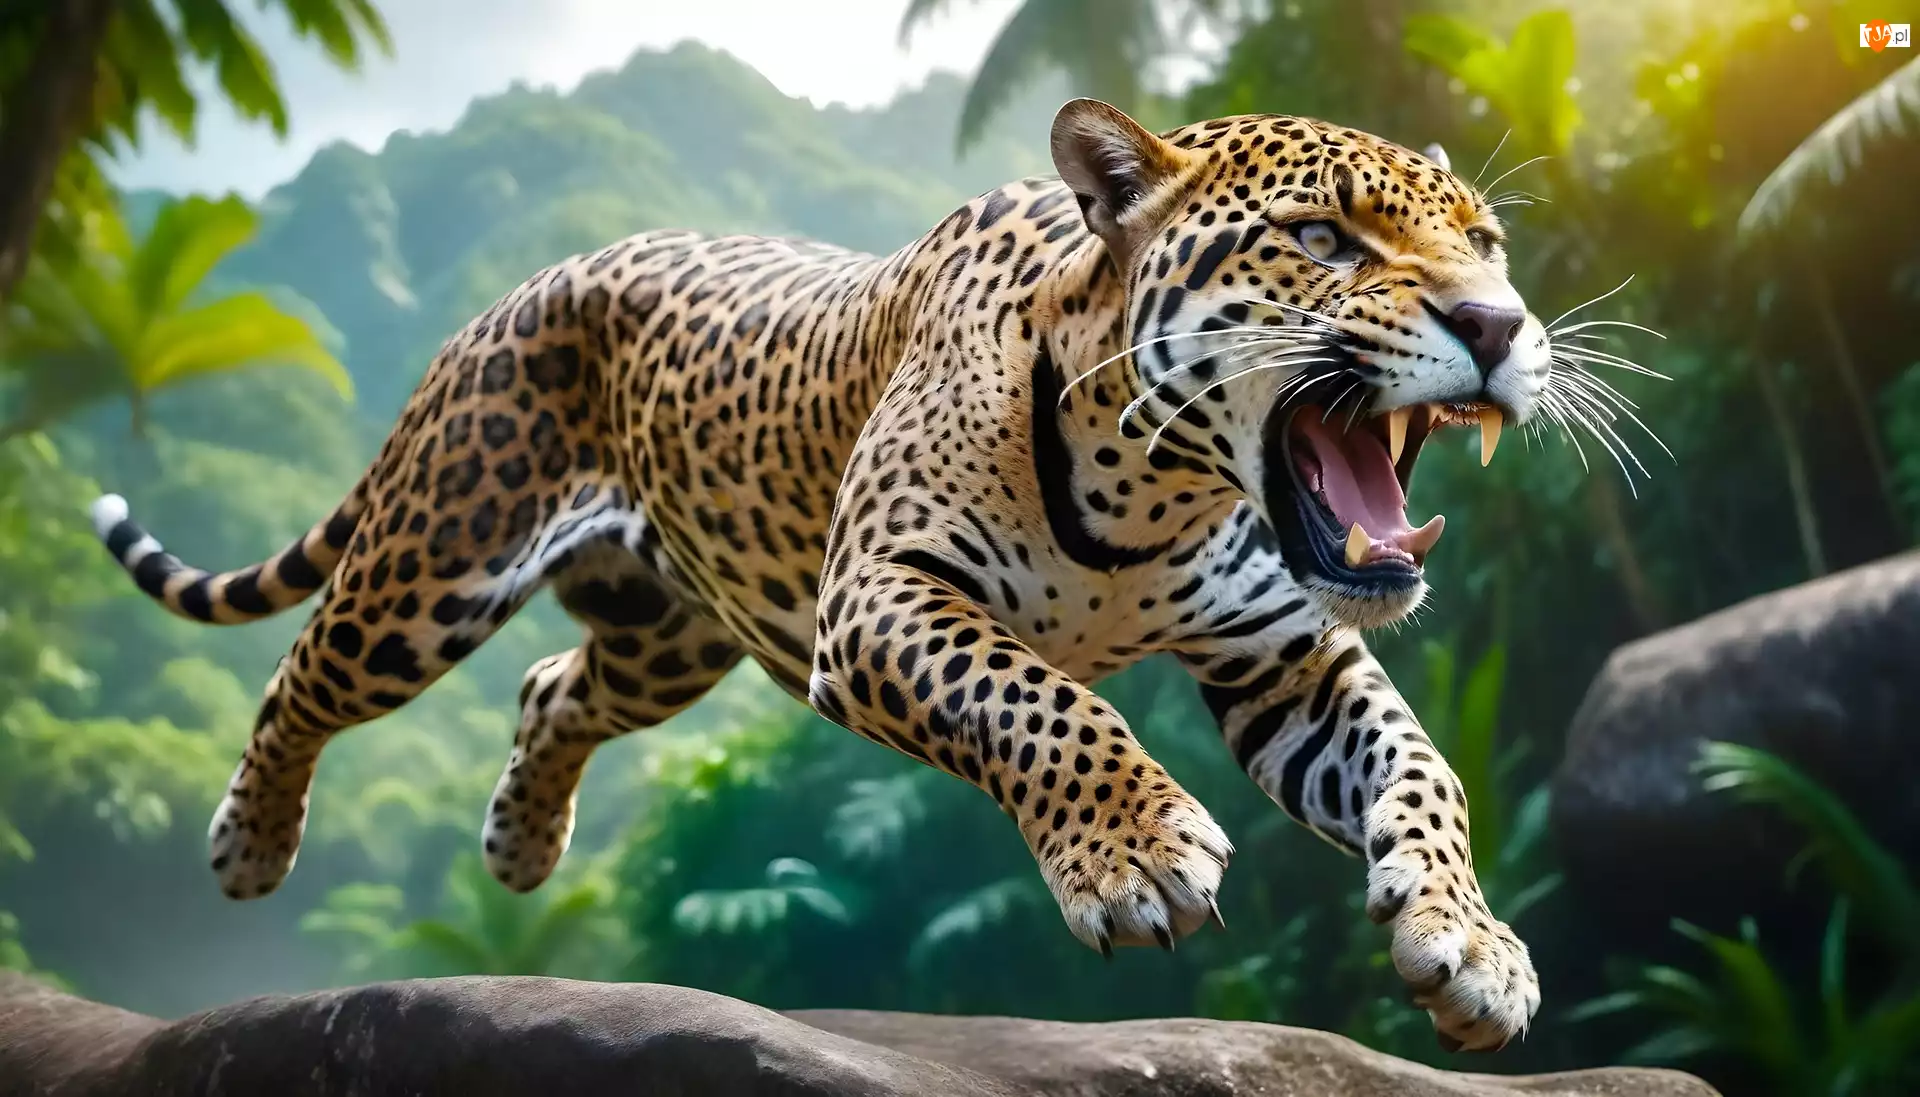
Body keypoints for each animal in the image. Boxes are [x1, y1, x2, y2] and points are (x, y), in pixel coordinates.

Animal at [92, 99, 1553, 1051]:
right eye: (1323, 240)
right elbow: (1043, 698)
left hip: (672, 636)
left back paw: (519, 840)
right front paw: (1134, 854)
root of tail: (523, 288)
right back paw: (248, 842)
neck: (1160, 491)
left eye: (1486, 242)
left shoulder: (1283, 657)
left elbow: (1424, 768)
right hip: (436, 558)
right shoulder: (880, 600)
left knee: (553, 688)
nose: (1499, 324)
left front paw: (1471, 945)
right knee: (304, 673)